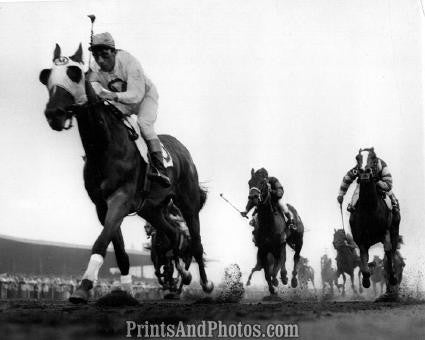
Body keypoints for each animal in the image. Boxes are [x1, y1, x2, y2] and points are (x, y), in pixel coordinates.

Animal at [38, 43, 214, 302]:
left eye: (74, 73)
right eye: (47, 76)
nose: (54, 113)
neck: (104, 147)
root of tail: (183, 151)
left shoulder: (120, 199)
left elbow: (101, 242)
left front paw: (84, 285)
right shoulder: (102, 205)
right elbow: (119, 251)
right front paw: (125, 291)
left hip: (188, 203)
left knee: (196, 243)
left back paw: (205, 283)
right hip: (152, 209)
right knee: (174, 236)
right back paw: (180, 276)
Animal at [346, 147, 400, 298]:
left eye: (374, 159)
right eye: (357, 158)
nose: (364, 172)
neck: (369, 210)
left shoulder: (385, 232)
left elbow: (388, 252)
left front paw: (392, 277)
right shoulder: (361, 239)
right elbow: (364, 257)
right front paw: (366, 280)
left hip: (394, 231)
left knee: (391, 252)